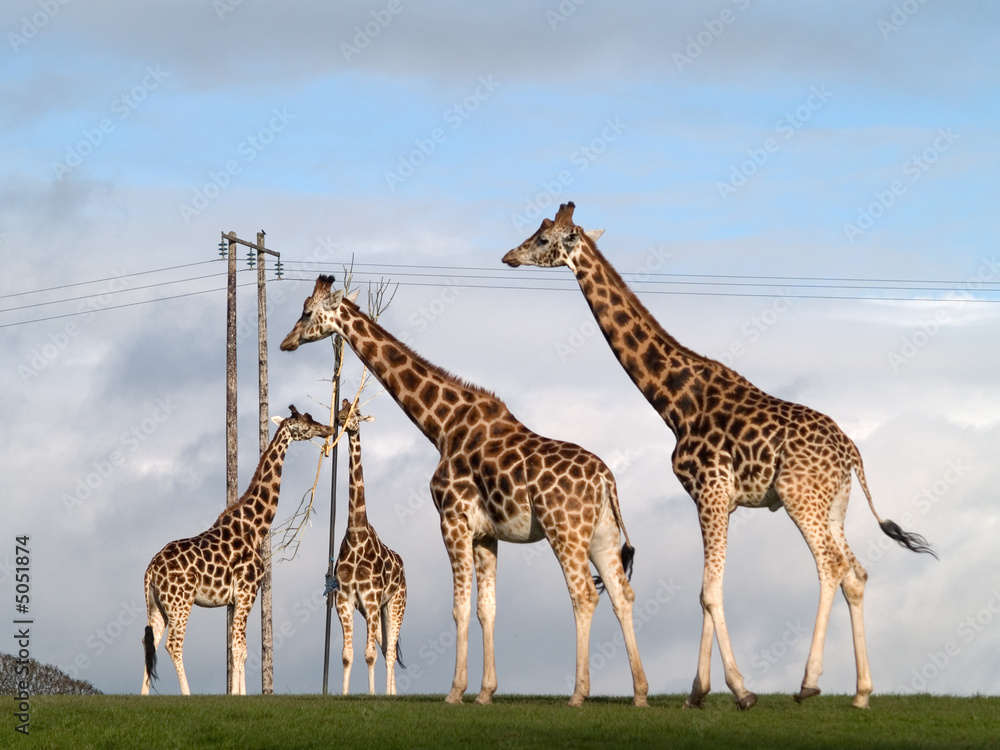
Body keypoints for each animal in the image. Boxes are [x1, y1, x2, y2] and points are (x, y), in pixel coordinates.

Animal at [141, 405, 335, 695]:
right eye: (306, 421)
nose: (329, 429)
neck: (256, 526)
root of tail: (151, 569)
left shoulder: (233, 599)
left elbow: (236, 647)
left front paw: (238, 692)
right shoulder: (247, 590)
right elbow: (240, 648)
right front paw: (237, 695)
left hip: (156, 604)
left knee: (149, 642)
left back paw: (143, 696)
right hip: (180, 602)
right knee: (173, 644)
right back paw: (187, 694)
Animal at [332, 397, 407, 696]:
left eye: (358, 412)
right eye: (342, 409)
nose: (342, 419)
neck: (356, 535)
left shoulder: (372, 598)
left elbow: (370, 654)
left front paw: (373, 694)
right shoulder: (344, 599)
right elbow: (347, 654)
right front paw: (343, 695)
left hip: (395, 604)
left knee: (389, 651)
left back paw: (389, 695)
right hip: (376, 611)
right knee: (386, 646)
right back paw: (393, 693)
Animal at [503, 201, 936, 710]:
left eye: (543, 239)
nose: (509, 256)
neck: (675, 401)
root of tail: (852, 451)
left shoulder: (709, 490)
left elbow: (709, 593)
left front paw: (740, 690)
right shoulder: (717, 500)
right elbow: (708, 589)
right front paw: (698, 691)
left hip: (799, 497)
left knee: (830, 565)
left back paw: (809, 683)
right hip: (834, 504)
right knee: (857, 572)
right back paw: (862, 692)